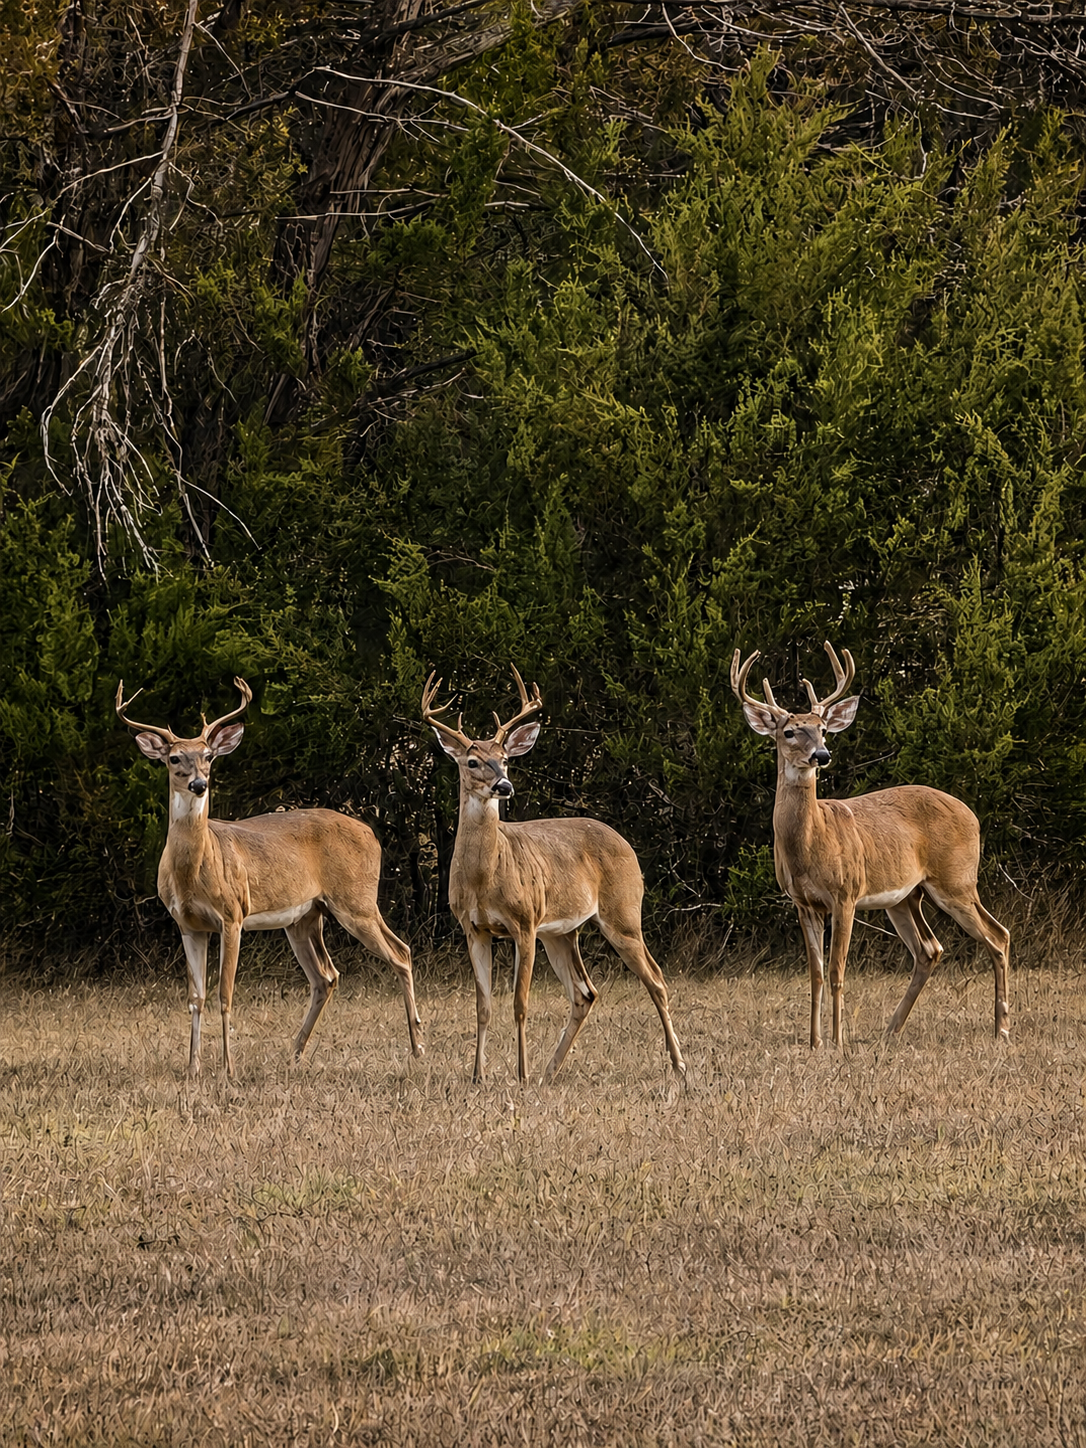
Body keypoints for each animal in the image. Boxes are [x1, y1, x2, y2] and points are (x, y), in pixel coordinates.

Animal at [116, 677, 422, 1078]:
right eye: (174, 758)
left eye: (209, 756)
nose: (199, 784)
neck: (193, 871)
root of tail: (372, 833)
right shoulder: (188, 924)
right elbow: (196, 997)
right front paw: (193, 1068)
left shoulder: (232, 914)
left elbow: (225, 993)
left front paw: (228, 1069)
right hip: (306, 916)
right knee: (327, 976)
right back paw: (294, 1052)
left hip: (356, 900)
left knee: (400, 953)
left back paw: (418, 1046)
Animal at [422, 667, 686, 1085]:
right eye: (472, 762)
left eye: (505, 759)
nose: (504, 786)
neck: (483, 878)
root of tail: (626, 845)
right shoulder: (473, 927)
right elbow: (483, 1005)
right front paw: (479, 1075)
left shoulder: (524, 922)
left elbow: (520, 1002)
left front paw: (521, 1074)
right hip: (562, 932)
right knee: (585, 992)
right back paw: (551, 1070)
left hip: (622, 913)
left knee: (656, 979)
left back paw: (678, 1065)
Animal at [731, 642, 1010, 1049]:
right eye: (790, 732)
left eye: (823, 730)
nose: (822, 755)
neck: (810, 844)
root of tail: (972, 816)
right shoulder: (802, 902)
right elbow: (815, 974)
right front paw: (815, 1042)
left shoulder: (845, 893)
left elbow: (836, 970)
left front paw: (836, 1041)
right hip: (906, 896)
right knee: (930, 949)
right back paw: (891, 1030)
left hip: (956, 880)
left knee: (997, 936)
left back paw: (1001, 1028)